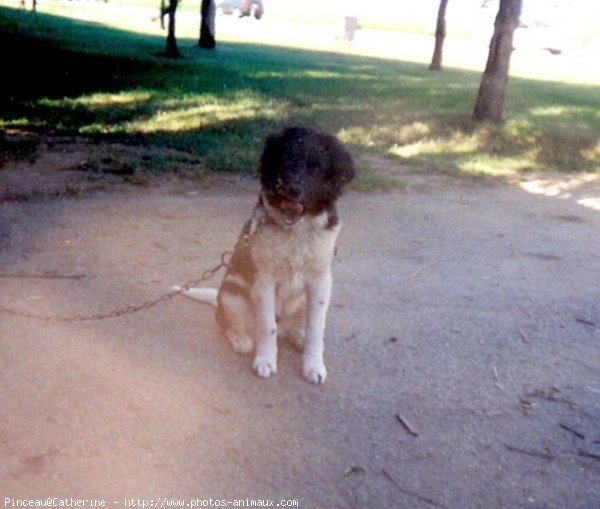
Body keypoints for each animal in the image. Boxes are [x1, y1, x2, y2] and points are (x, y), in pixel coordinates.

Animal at [180, 125, 354, 382]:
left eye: (316, 166)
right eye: (287, 160)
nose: (291, 189)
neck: (295, 231)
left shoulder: (321, 282)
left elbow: (316, 329)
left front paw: (313, 365)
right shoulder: (264, 281)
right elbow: (266, 326)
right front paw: (265, 361)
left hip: (301, 301)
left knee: (294, 328)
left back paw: (298, 337)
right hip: (232, 294)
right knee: (227, 322)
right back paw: (241, 339)